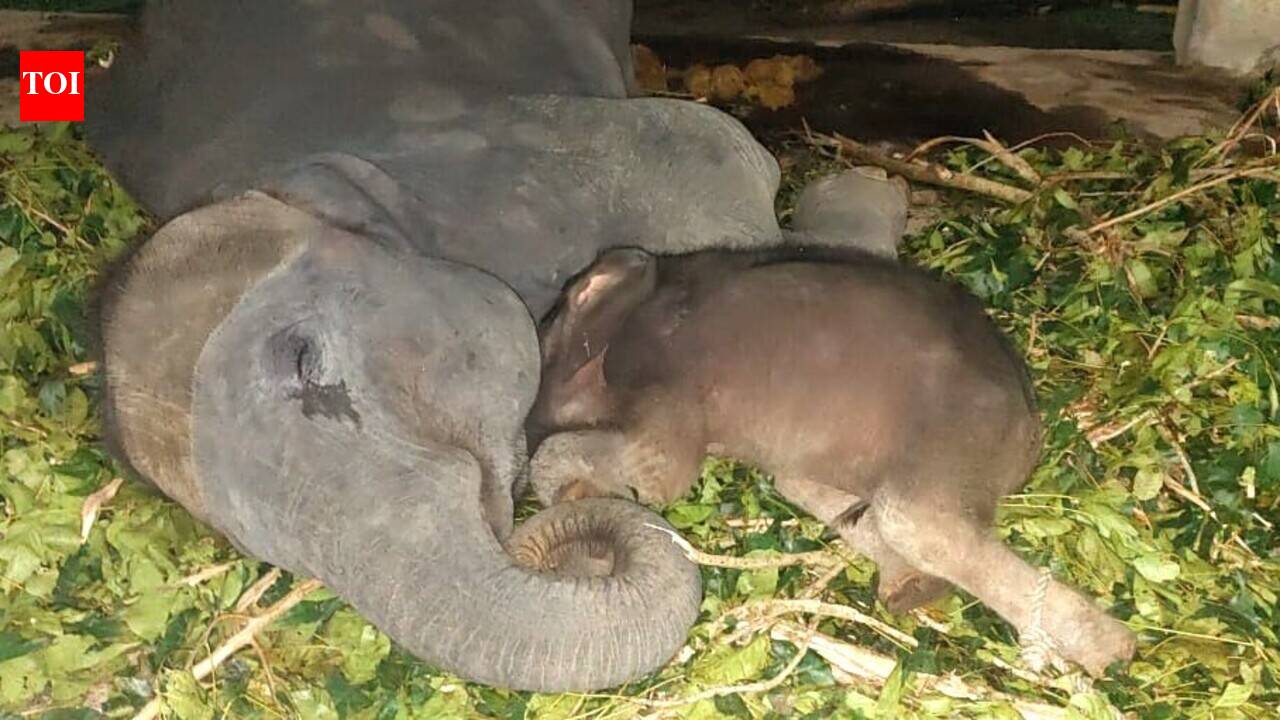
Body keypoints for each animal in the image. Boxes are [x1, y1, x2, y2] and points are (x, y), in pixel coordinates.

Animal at [525, 246, 1138, 678]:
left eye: (550, 319)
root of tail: (1032, 432)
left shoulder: (665, 377)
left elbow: (660, 471)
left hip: (960, 429)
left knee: (916, 521)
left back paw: (1112, 653)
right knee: (806, 487)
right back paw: (910, 589)